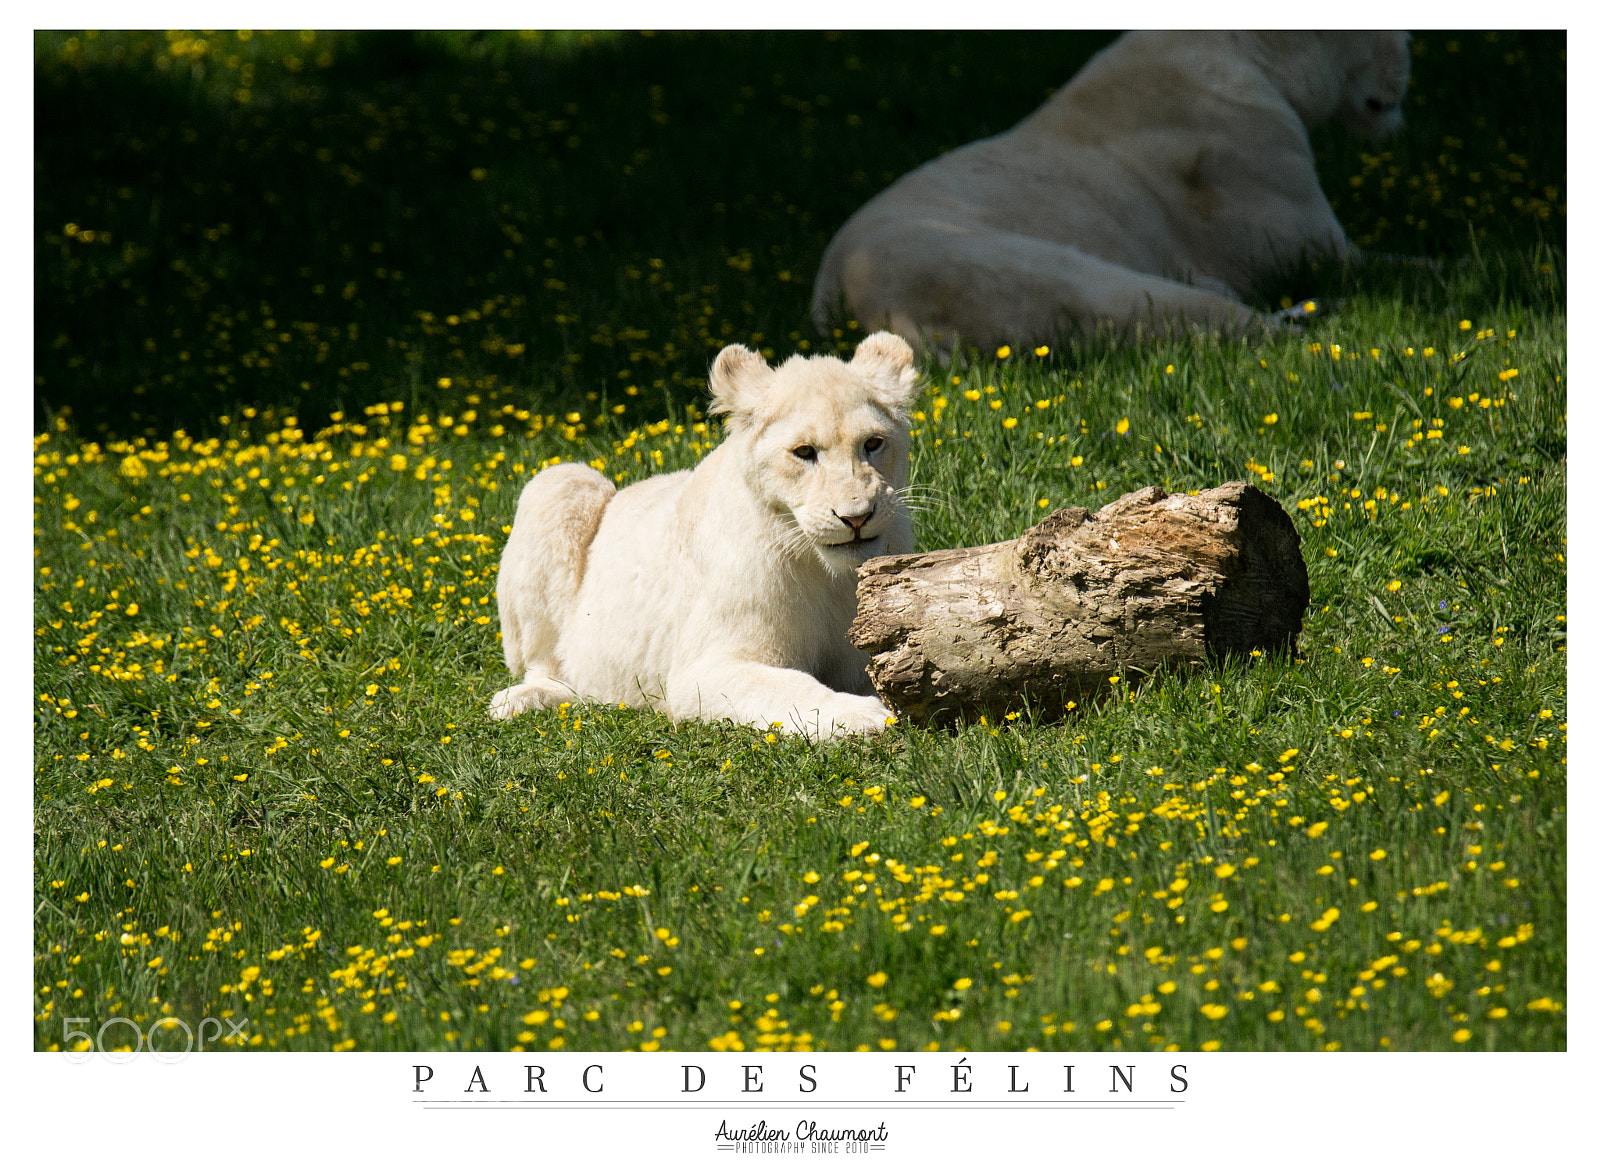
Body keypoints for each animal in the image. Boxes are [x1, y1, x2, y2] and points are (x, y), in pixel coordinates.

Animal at [489, 332, 918, 739]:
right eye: (804, 451)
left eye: (873, 443)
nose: (856, 517)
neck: (824, 571)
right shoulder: (701, 669)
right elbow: (791, 687)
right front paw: (865, 716)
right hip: (558, 482)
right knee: (545, 666)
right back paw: (521, 700)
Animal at [812, 31, 1411, 352]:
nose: (1408, 54)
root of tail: (850, 304)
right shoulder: (1310, 244)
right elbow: (1410, 265)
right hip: (1068, 277)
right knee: (1242, 326)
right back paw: (1329, 317)